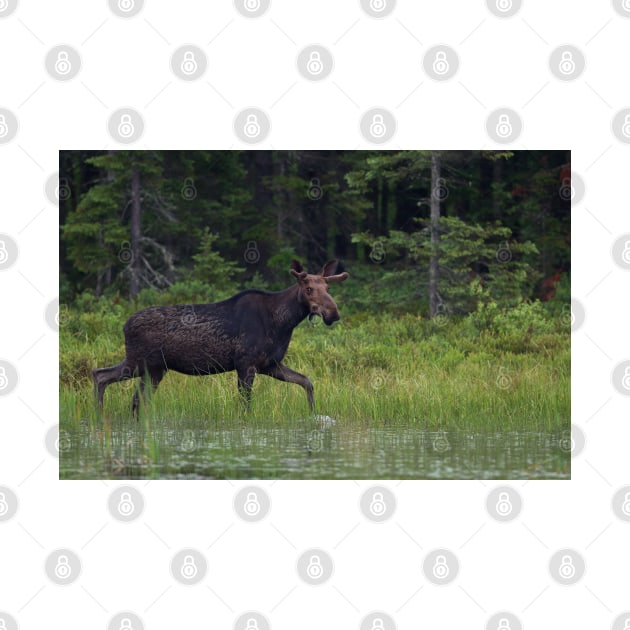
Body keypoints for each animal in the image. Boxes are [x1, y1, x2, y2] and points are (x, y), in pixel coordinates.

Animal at [92, 260, 350, 418]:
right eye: (308, 289)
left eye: (328, 288)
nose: (333, 313)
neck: (284, 323)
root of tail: (124, 326)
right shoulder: (245, 363)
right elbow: (245, 405)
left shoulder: (270, 364)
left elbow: (307, 381)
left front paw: (314, 414)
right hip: (140, 362)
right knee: (102, 376)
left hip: (154, 369)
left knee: (132, 396)